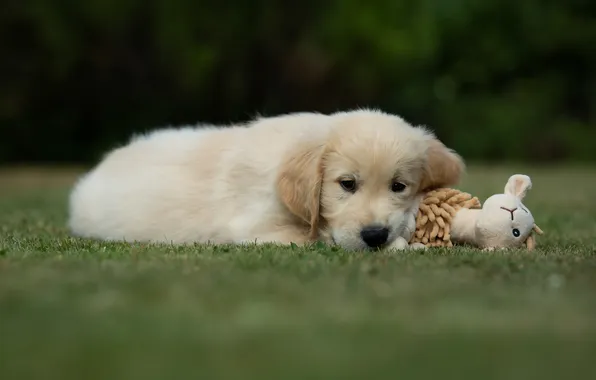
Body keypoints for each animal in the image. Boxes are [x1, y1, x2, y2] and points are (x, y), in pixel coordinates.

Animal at [68, 110, 460, 251]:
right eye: (346, 184)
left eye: (399, 186)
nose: (376, 236)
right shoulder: (257, 226)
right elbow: (317, 237)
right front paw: (405, 242)